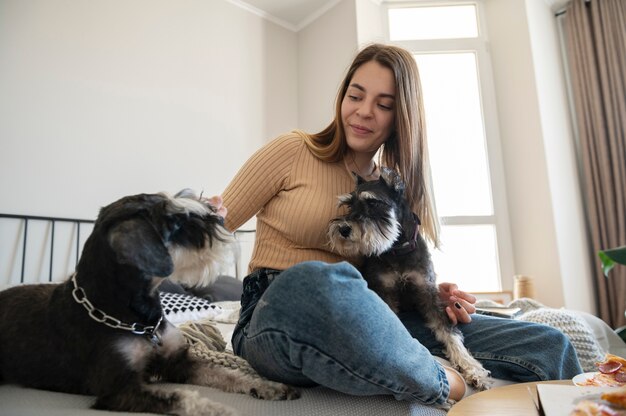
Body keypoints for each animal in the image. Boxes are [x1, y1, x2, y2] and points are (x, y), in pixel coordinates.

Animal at [0, 191, 298, 416]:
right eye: (174, 223)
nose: (217, 213)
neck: (139, 319)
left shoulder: (179, 362)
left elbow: (226, 373)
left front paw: (268, 386)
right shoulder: (118, 389)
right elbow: (183, 398)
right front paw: (222, 411)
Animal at [324, 168, 490, 390]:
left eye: (373, 203)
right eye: (350, 204)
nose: (343, 229)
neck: (398, 248)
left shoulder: (427, 291)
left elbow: (449, 332)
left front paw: (473, 368)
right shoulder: (385, 291)